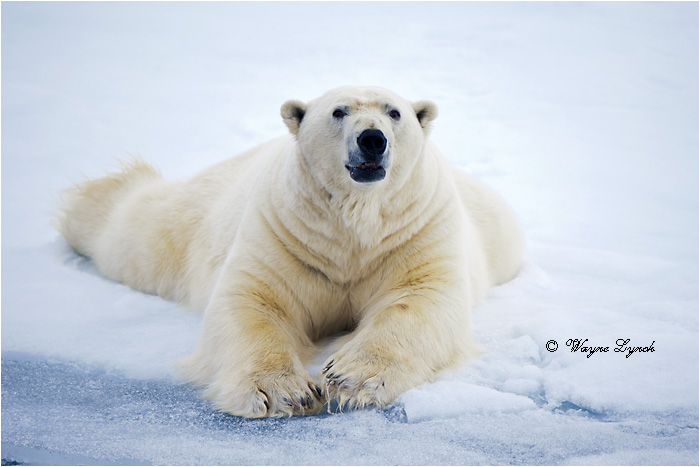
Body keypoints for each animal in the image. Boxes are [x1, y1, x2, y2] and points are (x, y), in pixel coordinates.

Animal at [56, 86, 524, 418]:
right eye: (338, 111)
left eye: (394, 112)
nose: (372, 139)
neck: (356, 222)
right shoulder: (283, 232)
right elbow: (256, 302)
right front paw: (284, 392)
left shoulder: (415, 230)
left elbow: (419, 300)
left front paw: (349, 380)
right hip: (196, 217)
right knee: (139, 232)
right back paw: (93, 201)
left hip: (498, 231)